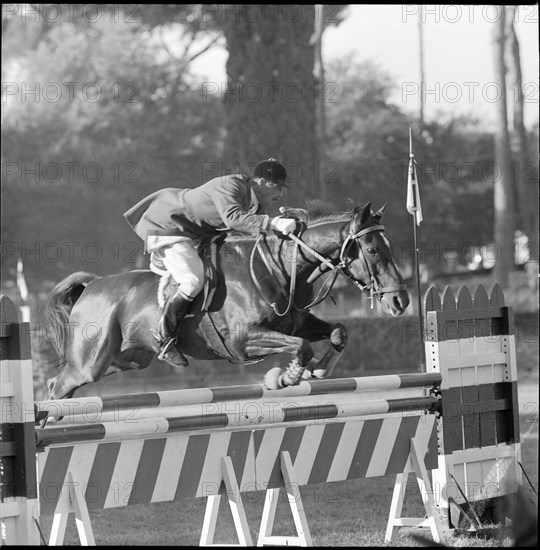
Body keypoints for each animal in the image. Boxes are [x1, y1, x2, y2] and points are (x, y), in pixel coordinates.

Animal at [45, 205, 410, 404]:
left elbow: (337, 332)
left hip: (127, 360)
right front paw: (285, 378)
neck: (279, 267)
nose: (400, 300)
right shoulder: (241, 342)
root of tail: (92, 287)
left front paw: (319, 369)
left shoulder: (297, 322)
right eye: (373, 250)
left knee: (57, 386)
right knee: (57, 388)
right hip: (89, 364)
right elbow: (301, 346)